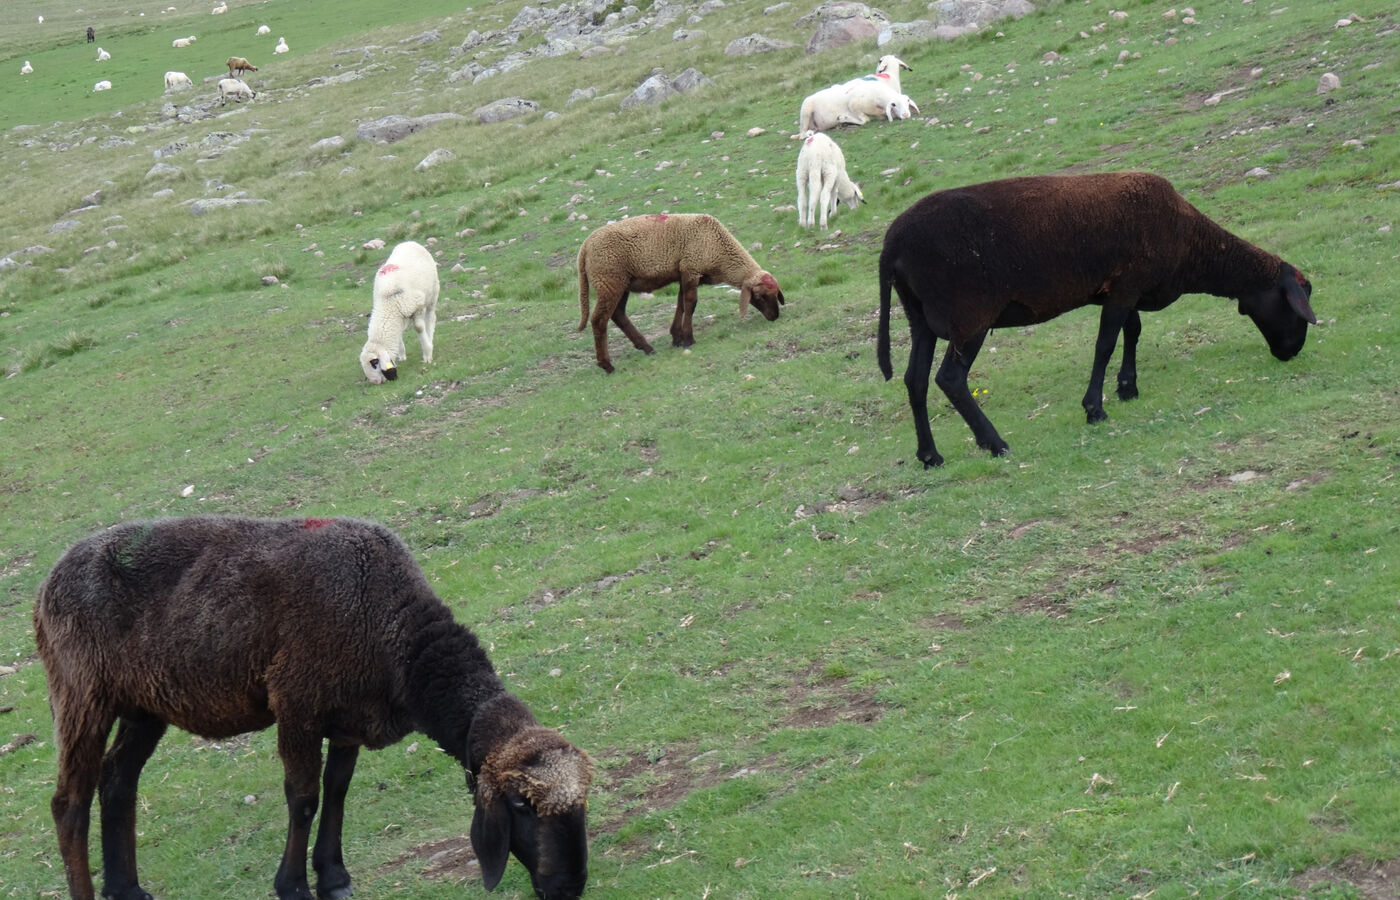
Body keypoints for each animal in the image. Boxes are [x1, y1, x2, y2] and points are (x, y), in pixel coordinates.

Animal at [32, 515, 590, 900]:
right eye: (520, 805)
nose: (570, 889)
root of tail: (47, 582)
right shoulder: (297, 702)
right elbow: (303, 797)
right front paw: (294, 886)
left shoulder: (348, 715)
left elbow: (338, 790)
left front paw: (334, 876)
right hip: (81, 692)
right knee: (69, 803)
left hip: (144, 702)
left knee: (117, 781)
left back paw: (126, 889)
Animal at [358, 239, 434, 383]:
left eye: (375, 363)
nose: (375, 382)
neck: (388, 303)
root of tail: (408, 242)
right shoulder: (398, 317)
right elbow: (398, 335)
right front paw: (402, 355)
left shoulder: (417, 307)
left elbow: (419, 328)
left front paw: (427, 353)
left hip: (433, 293)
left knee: (430, 317)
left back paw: (430, 337)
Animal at [574, 214, 784, 372]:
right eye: (759, 296)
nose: (775, 316)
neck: (719, 248)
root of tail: (585, 248)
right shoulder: (691, 269)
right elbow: (691, 304)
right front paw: (689, 339)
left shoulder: (685, 273)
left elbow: (681, 304)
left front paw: (676, 338)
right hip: (609, 281)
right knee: (599, 320)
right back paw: (607, 365)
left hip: (620, 283)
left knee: (618, 314)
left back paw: (647, 348)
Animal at [879, 169, 1316, 467]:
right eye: (1297, 301)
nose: (1292, 352)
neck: (1192, 244)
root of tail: (891, 245)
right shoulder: (1125, 287)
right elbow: (1106, 344)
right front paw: (1095, 408)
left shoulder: (1126, 287)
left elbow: (1133, 332)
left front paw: (1127, 387)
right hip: (970, 316)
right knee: (950, 379)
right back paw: (995, 443)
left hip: (920, 318)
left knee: (915, 380)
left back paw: (930, 455)